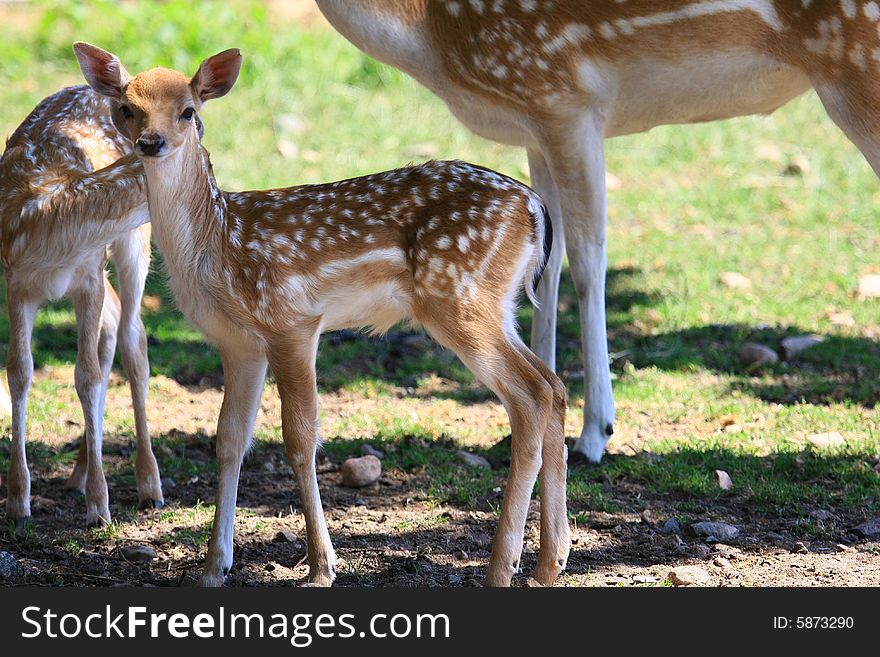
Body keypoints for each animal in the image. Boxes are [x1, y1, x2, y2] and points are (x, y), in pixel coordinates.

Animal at [0, 84, 163, 524]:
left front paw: (99, 507)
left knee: (133, 337)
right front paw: (18, 502)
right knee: (113, 325)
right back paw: (77, 474)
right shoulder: (16, 283)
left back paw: (149, 486)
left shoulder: (89, 274)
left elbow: (86, 374)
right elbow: (19, 371)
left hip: (132, 245)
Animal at [75, 42, 572, 584]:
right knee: (554, 385)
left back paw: (503, 566)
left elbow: (299, 439)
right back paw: (550, 560)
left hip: (458, 298)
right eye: (127, 108)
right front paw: (213, 567)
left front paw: (320, 567)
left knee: (530, 396)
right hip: (496, 306)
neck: (217, 245)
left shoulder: (291, 321)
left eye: (188, 109)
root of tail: (535, 207)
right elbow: (229, 440)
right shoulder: (239, 343)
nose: (151, 142)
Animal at [312, 0, 876, 462]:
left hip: (857, 64)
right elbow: (544, 267)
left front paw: (594, 435)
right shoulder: (533, 125)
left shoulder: (564, 97)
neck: (430, 33)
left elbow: (587, 262)